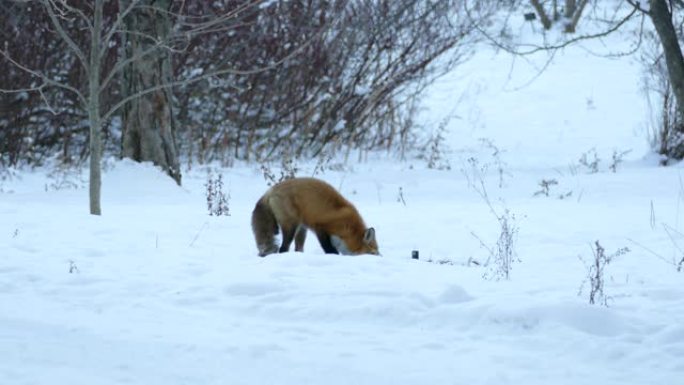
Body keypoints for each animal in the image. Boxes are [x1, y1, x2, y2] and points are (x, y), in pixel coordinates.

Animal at [251, 177, 380, 255]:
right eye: (373, 253)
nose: (381, 258)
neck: (347, 227)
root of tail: (271, 190)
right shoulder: (321, 228)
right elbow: (329, 249)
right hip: (291, 226)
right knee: (283, 248)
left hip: (301, 229)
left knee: (298, 248)